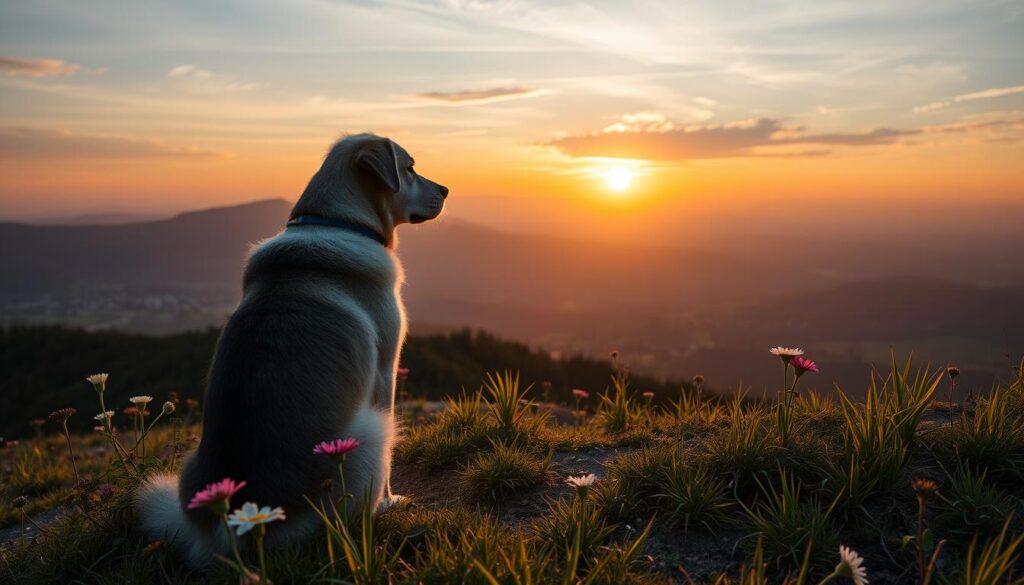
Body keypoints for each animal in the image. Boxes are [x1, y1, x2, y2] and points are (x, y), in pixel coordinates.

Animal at [135, 134, 448, 573]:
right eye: (411, 168)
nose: (446, 190)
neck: (334, 220)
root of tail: (239, 529)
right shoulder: (385, 370)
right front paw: (391, 500)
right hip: (369, 433)